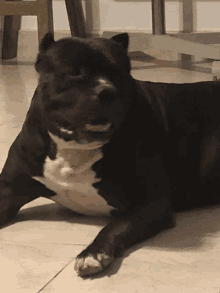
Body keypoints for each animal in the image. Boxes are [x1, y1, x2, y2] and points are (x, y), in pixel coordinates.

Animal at [1, 32, 220, 276]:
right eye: (74, 72)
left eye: (120, 73)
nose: (107, 91)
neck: (75, 151)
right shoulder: (9, 190)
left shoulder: (152, 204)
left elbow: (116, 225)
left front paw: (93, 252)